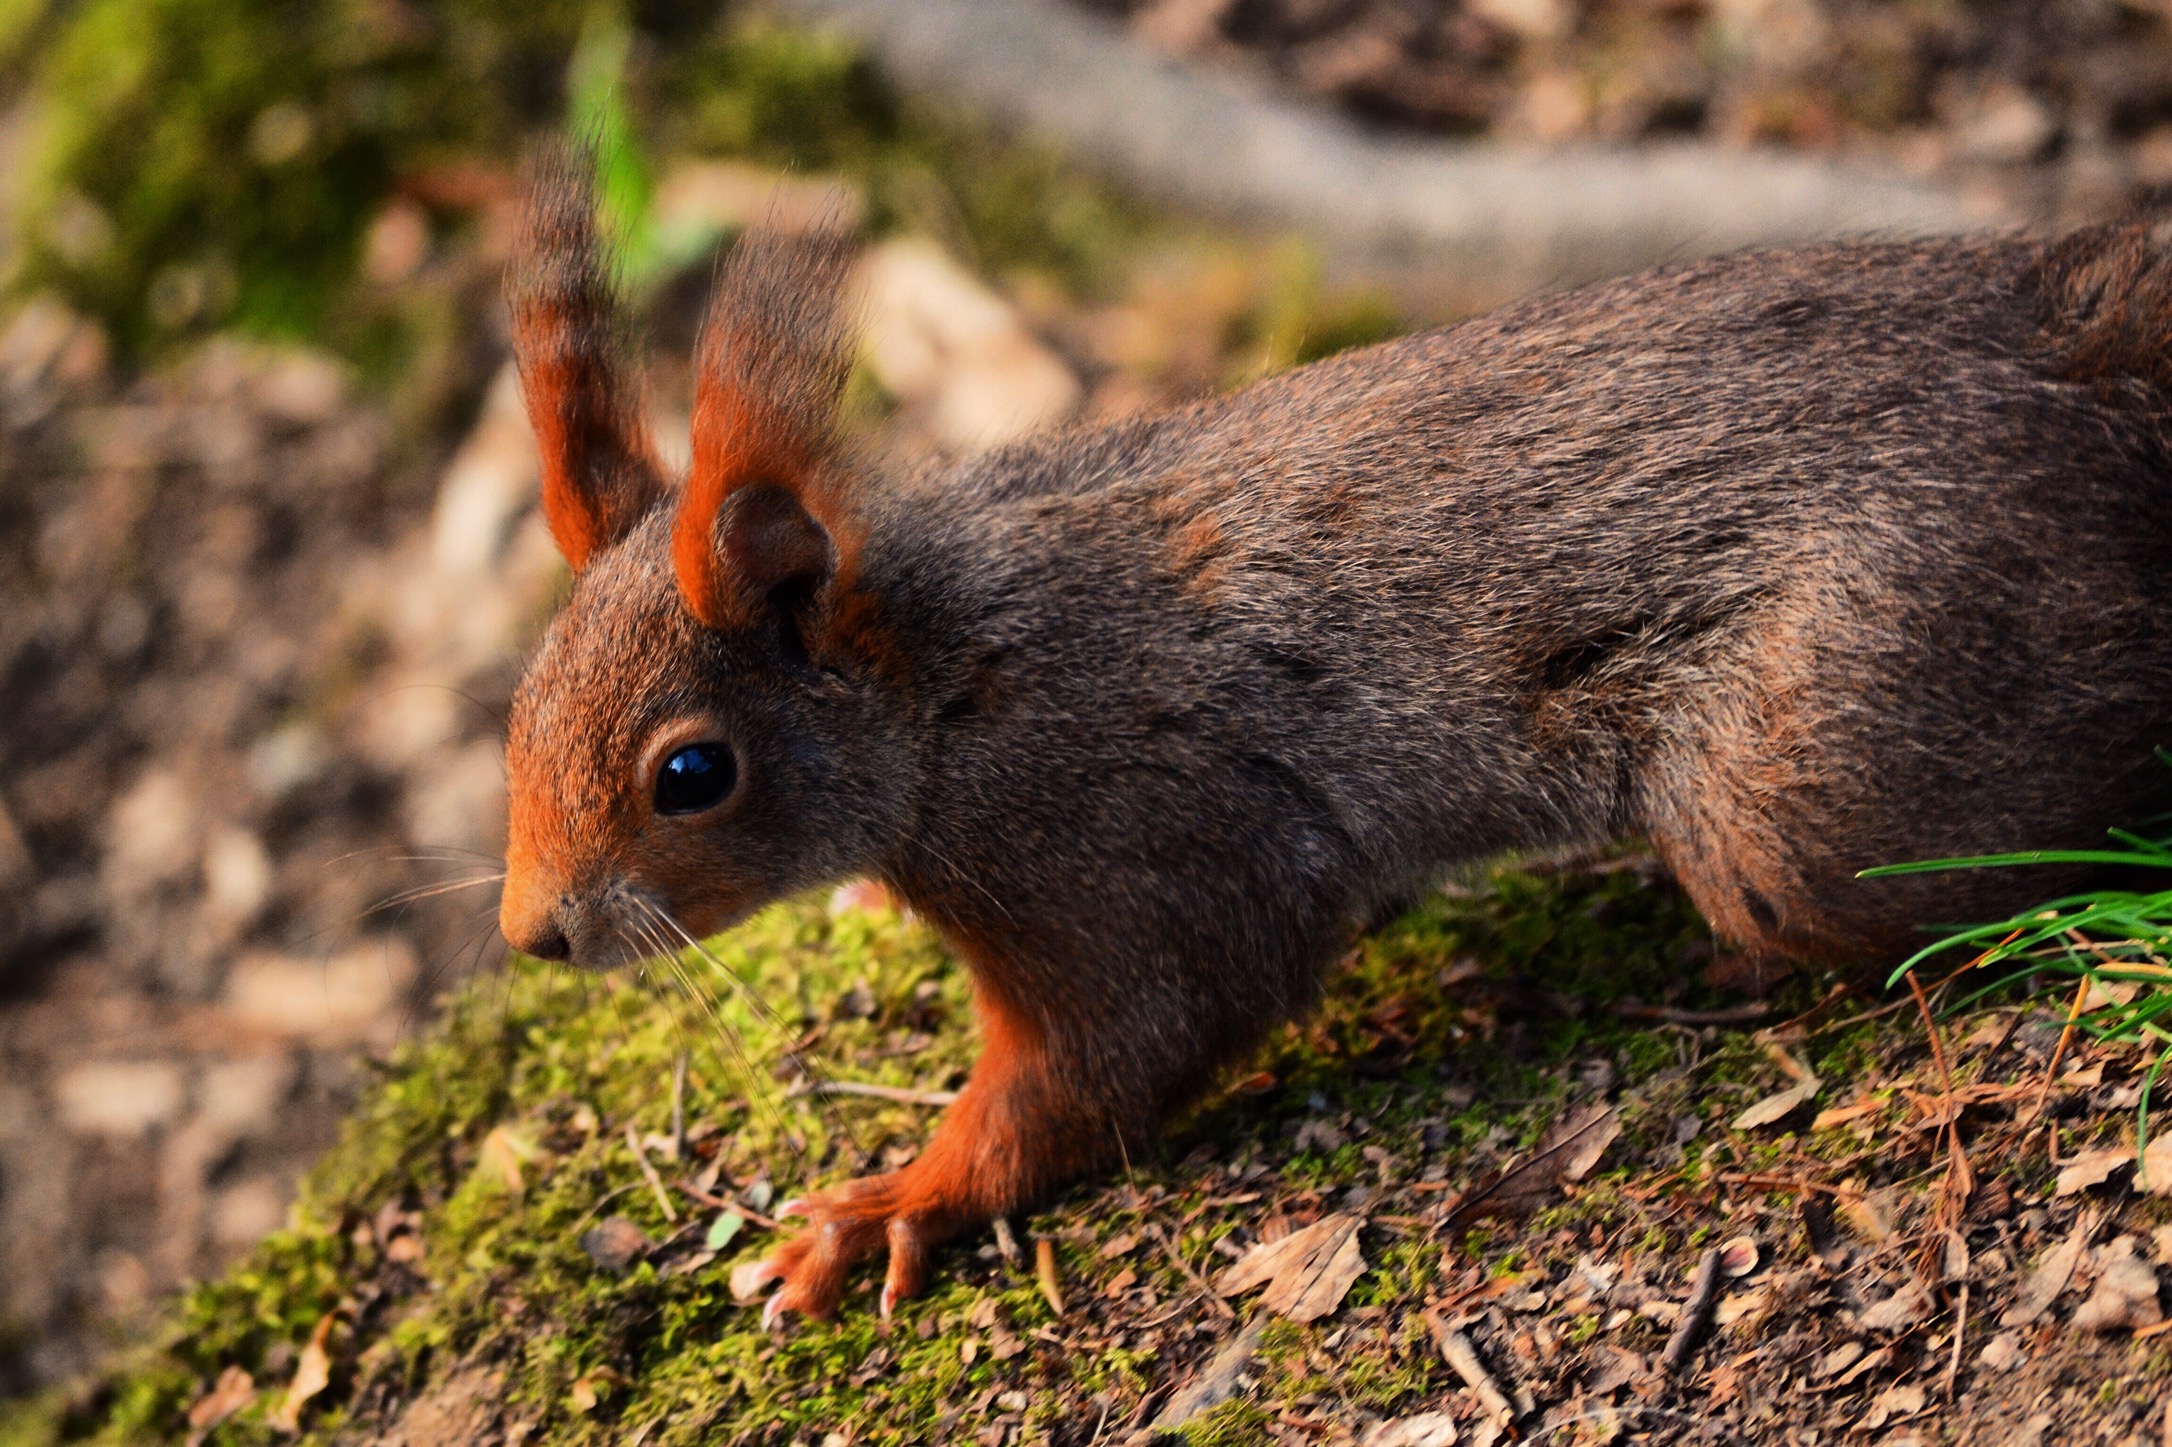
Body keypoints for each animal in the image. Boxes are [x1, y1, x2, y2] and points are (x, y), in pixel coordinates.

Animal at [497, 149, 2172, 1323]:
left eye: (692, 772)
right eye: (512, 714)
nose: (533, 936)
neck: (948, 684)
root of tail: (2073, 329)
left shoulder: (1129, 835)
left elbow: (1117, 1047)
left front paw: (894, 1200)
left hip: (1814, 765)